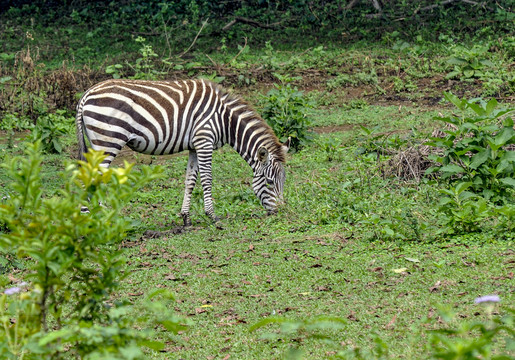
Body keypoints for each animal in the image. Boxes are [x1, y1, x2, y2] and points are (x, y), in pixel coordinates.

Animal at [75, 79, 290, 226]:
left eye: (283, 181)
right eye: (269, 182)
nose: (281, 212)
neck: (225, 120)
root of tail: (86, 94)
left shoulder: (195, 146)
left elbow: (190, 180)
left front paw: (185, 217)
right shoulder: (204, 141)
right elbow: (207, 179)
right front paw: (212, 215)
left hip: (97, 144)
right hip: (108, 141)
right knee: (90, 180)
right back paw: (94, 222)